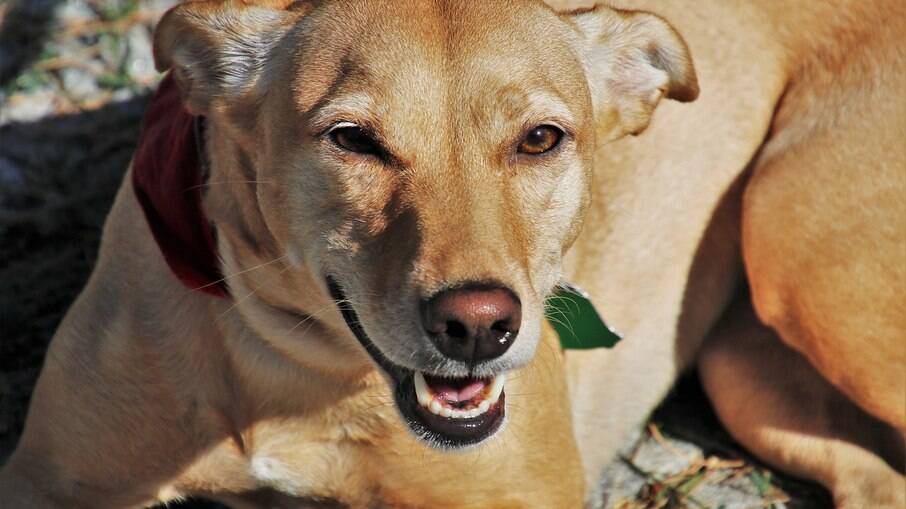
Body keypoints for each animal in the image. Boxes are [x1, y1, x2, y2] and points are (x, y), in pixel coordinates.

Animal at [0, 0, 900, 508]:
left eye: (540, 139)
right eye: (352, 139)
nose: (477, 325)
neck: (298, 367)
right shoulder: (53, 482)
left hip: (805, 267)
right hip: (750, 370)